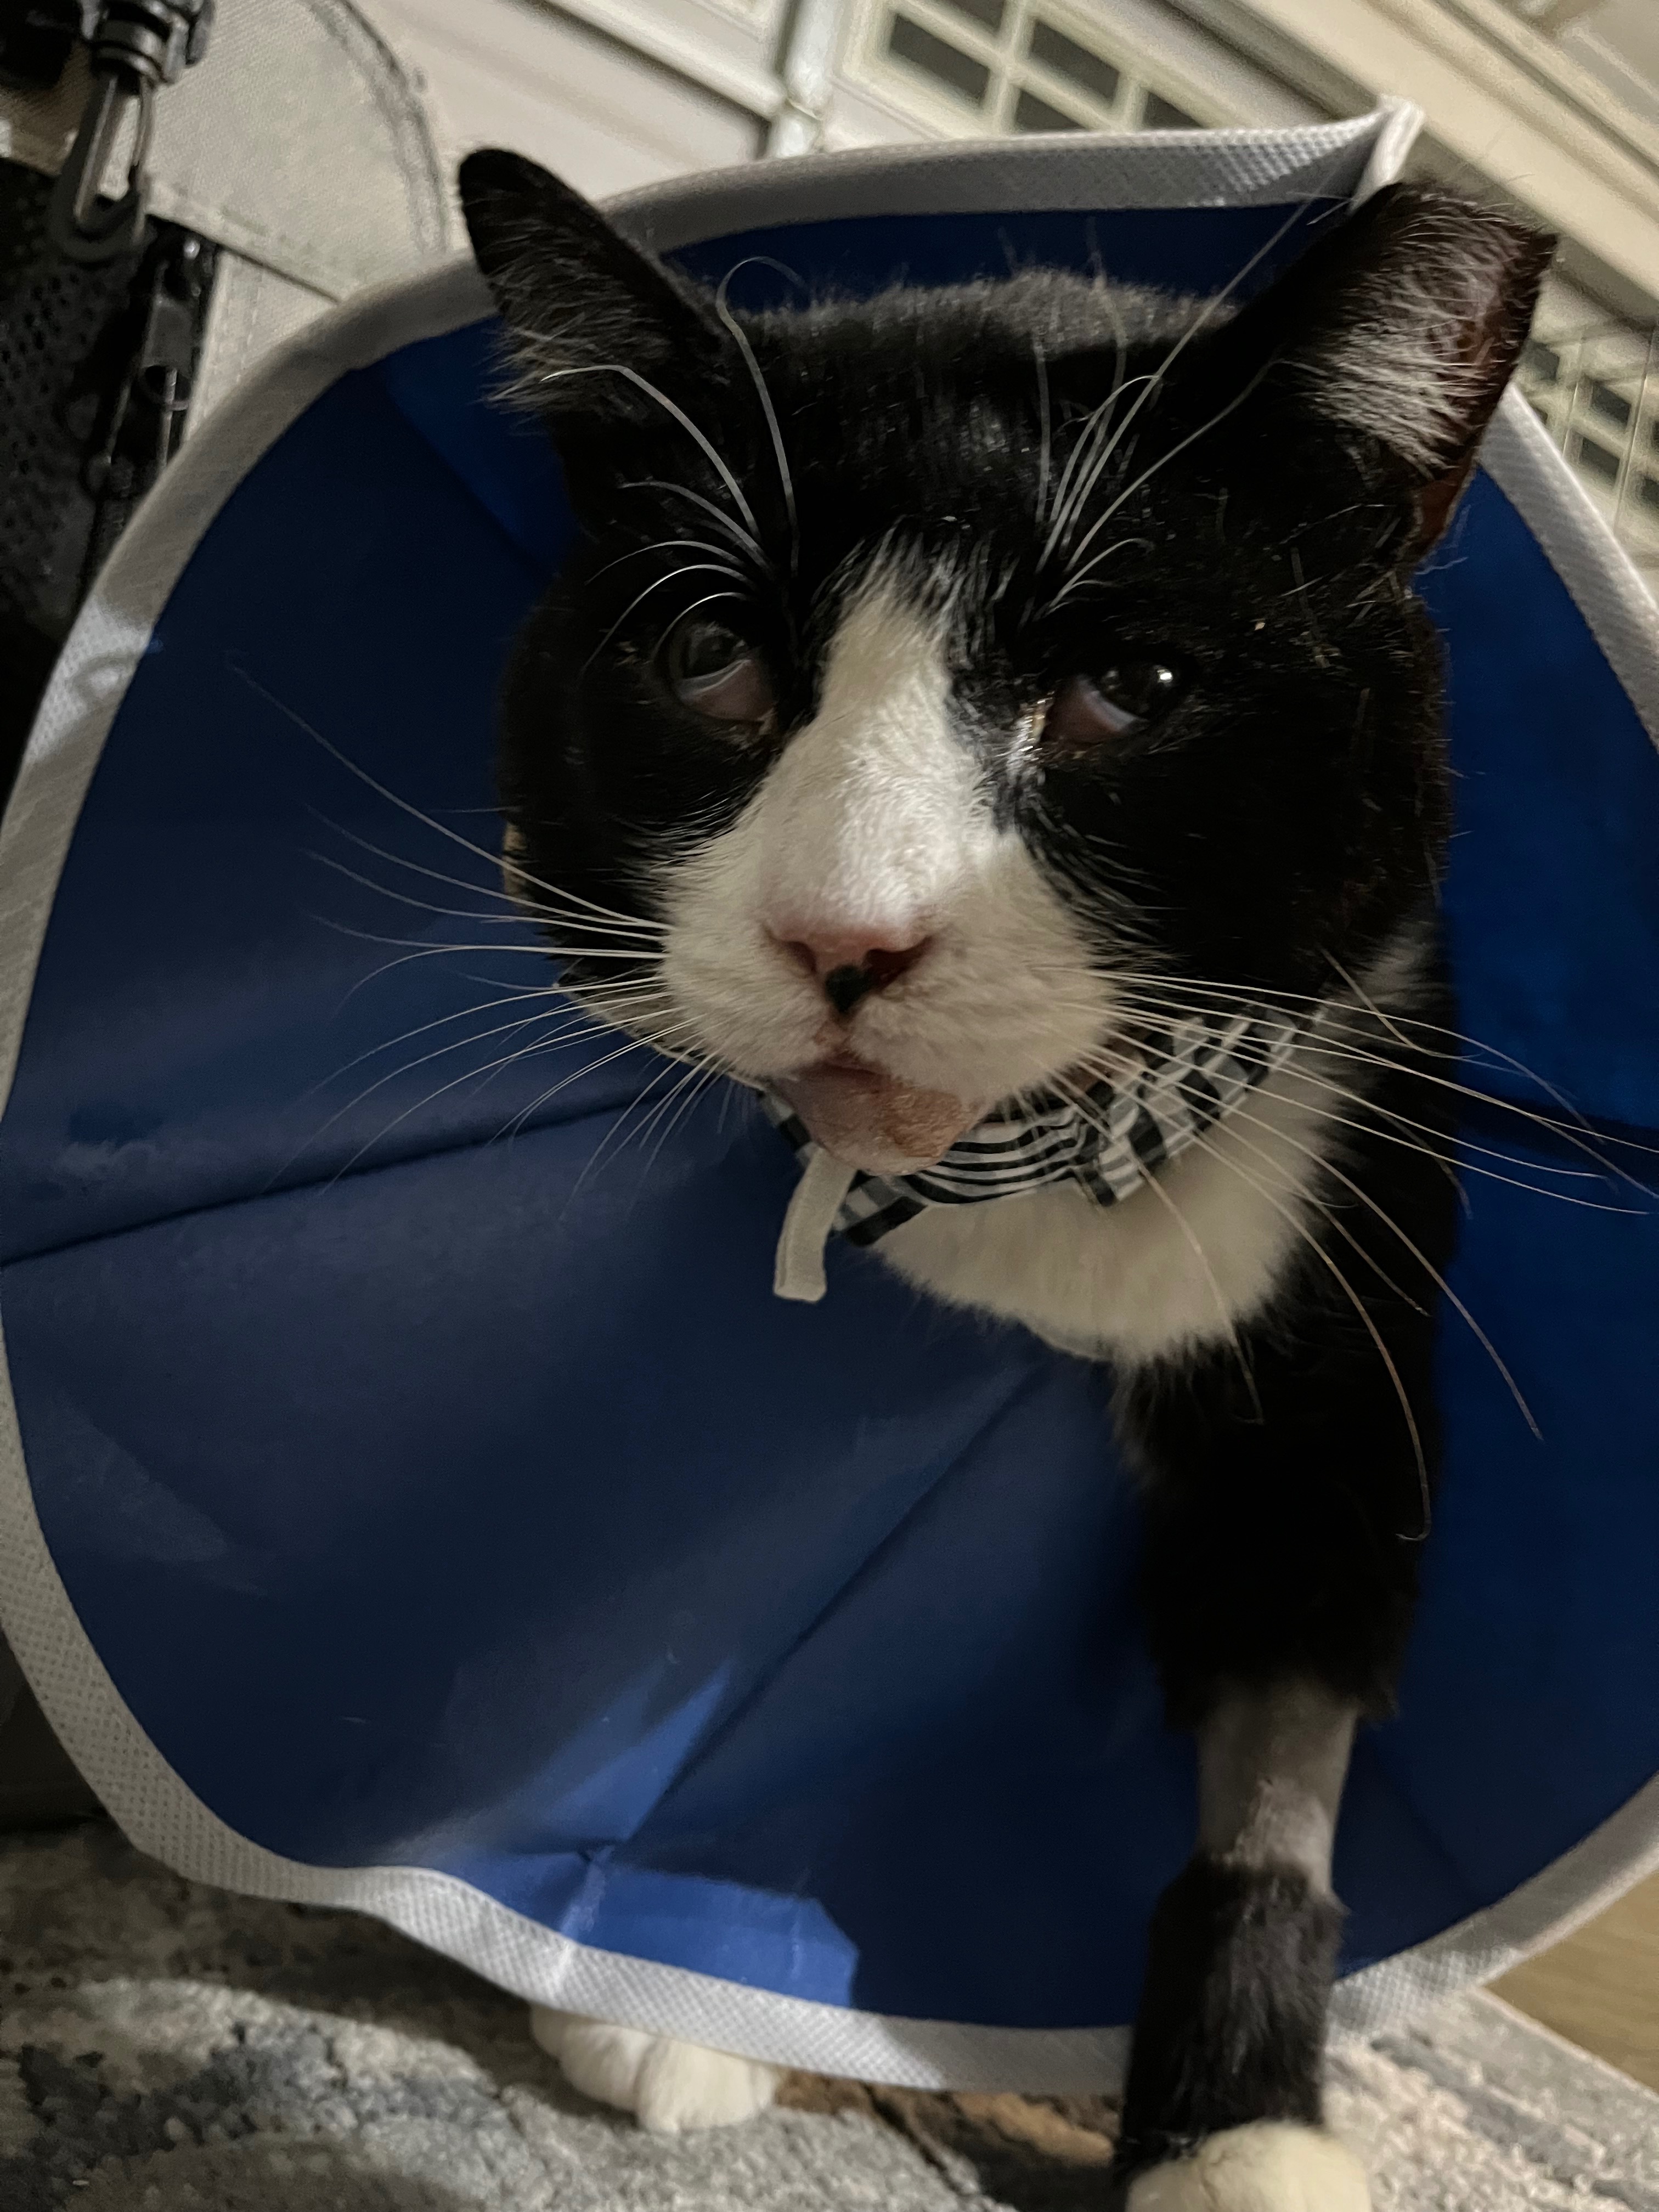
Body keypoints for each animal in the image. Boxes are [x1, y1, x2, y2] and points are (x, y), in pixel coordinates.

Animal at [456, 149, 1550, 2211]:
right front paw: (684, 2008)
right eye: (708, 656)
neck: (1035, 1176)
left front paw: (1241, 2131)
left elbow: (1284, 1757)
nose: (845, 934)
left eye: (1135, 683)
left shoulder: (1348, 1358)